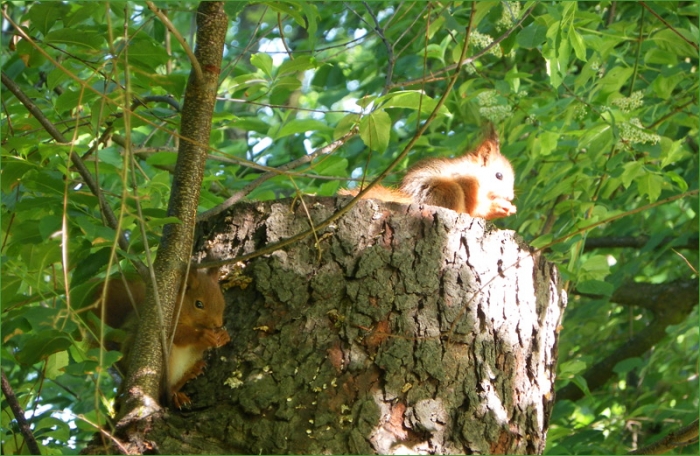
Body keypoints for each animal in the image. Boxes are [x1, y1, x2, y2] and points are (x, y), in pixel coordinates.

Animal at [92, 267, 230, 409]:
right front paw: (202, 335)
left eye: (221, 299)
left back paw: (191, 373)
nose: (218, 324)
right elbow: (178, 334)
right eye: (199, 304)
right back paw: (176, 395)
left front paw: (224, 336)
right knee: (163, 391)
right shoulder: (163, 320)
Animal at [342, 131, 516, 220]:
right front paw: (498, 207)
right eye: (499, 175)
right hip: (446, 191)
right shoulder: (468, 183)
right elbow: (475, 209)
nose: (510, 197)